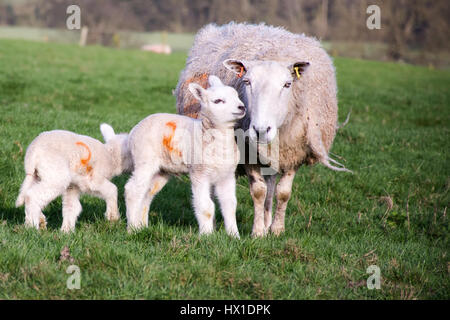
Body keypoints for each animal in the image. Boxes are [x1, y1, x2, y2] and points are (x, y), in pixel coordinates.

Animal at [125, 75, 246, 238]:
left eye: (237, 95)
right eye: (218, 101)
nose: (242, 107)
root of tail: (134, 130)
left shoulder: (226, 175)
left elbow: (230, 205)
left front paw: (234, 236)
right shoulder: (199, 173)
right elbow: (206, 207)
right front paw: (206, 235)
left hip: (162, 170)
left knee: (146, 193)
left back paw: (141, 226)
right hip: (144, 158)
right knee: (132, 190)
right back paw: (131, 229)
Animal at [176, 21, 352, 238]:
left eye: (287, 84)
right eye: (247, 81)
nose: (260, 130)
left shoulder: (294, 152)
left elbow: (282, 193)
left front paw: (276, 229)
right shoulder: (247, 152)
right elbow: (258, 191)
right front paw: (258, 232)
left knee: (271, 184)